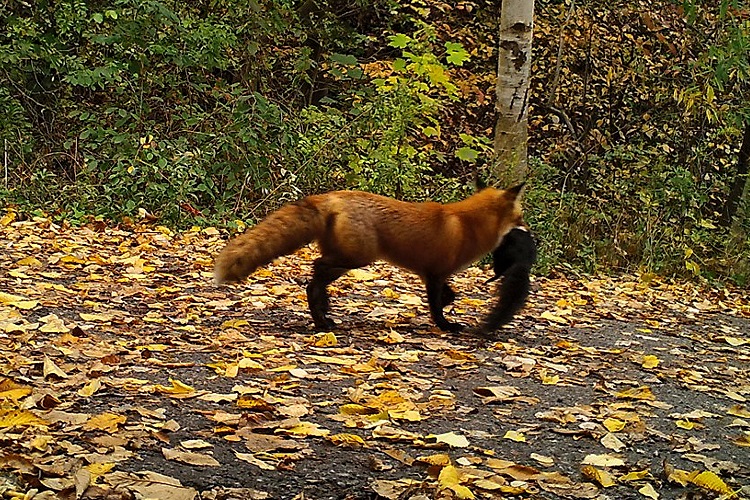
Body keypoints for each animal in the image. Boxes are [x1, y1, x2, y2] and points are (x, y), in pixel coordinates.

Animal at [216, 184, 528, 332]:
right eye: (521, 216)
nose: (528, 230)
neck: (468, 224)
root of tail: (330, 196)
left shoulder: (434, 273)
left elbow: (448, 297)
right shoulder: (436, 273)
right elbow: (437, 307)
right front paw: (446, 327)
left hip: (346, 258)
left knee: (315, 279)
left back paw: (322, 316)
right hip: (356, 258)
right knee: (315, 272)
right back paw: (322, 316)